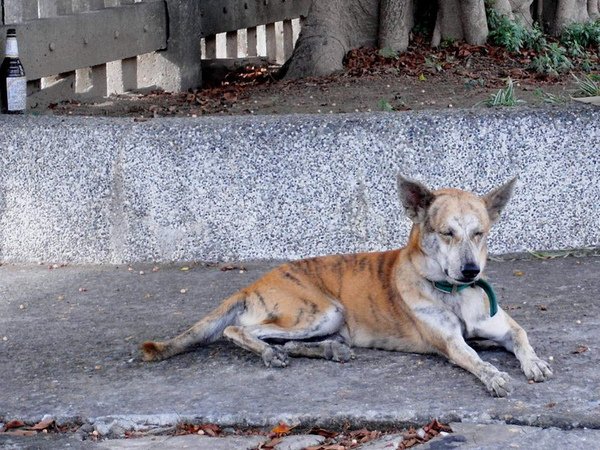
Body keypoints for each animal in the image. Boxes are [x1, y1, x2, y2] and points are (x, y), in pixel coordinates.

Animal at [142, 174, 552, 396]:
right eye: (446, 233)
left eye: (479, 233)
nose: (470, 271)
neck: (453, 292)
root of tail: (253, 284)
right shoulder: (451, 343)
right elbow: (475, 358)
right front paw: (495, 376)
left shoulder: (500, 326)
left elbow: (521, 337)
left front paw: (534, 362)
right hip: (322, 310)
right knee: (238, 330)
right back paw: (270, 353)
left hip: (330, 321)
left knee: (286, 341)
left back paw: (328, 350)